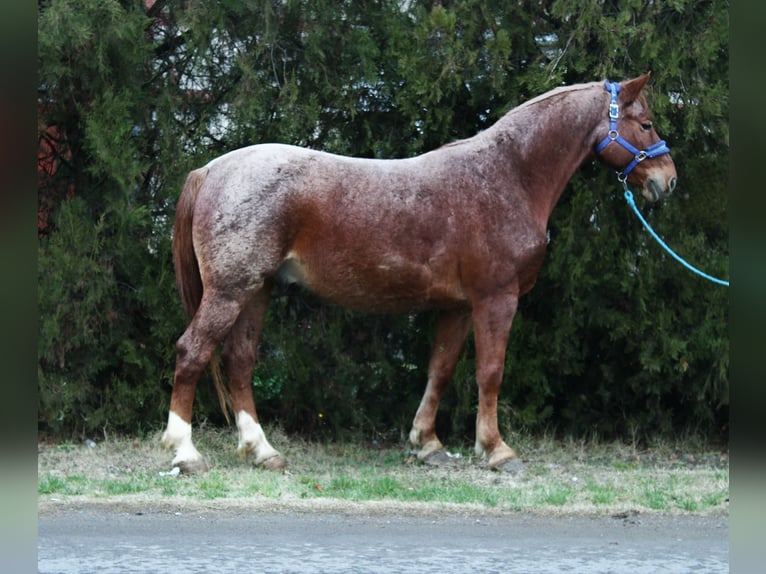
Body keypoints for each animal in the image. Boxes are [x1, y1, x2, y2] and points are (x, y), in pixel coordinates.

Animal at [161, 73, 677, 473]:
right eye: (646, 123)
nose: (667, 181)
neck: (506, 175)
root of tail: (211, 169)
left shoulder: (458, 307)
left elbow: (440, 370)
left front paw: (427, 445)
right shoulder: (496, 299)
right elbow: (491, 372)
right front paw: (497, 450)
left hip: (257, 290)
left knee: (240, 361)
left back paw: (263, 451)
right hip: (230, 291)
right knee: (192, 352)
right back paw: (185, 453)